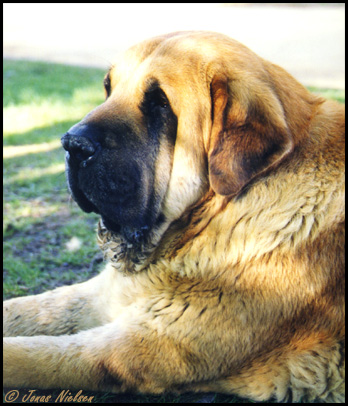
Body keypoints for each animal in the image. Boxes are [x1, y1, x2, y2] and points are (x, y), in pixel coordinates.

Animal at [3, 31, 346, 402]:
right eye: (108, 88)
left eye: (160, 104)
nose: (72, 144)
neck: (211, 218)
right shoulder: (107, 295)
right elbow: (28, 307)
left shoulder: (138, 345)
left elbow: (27, 355)